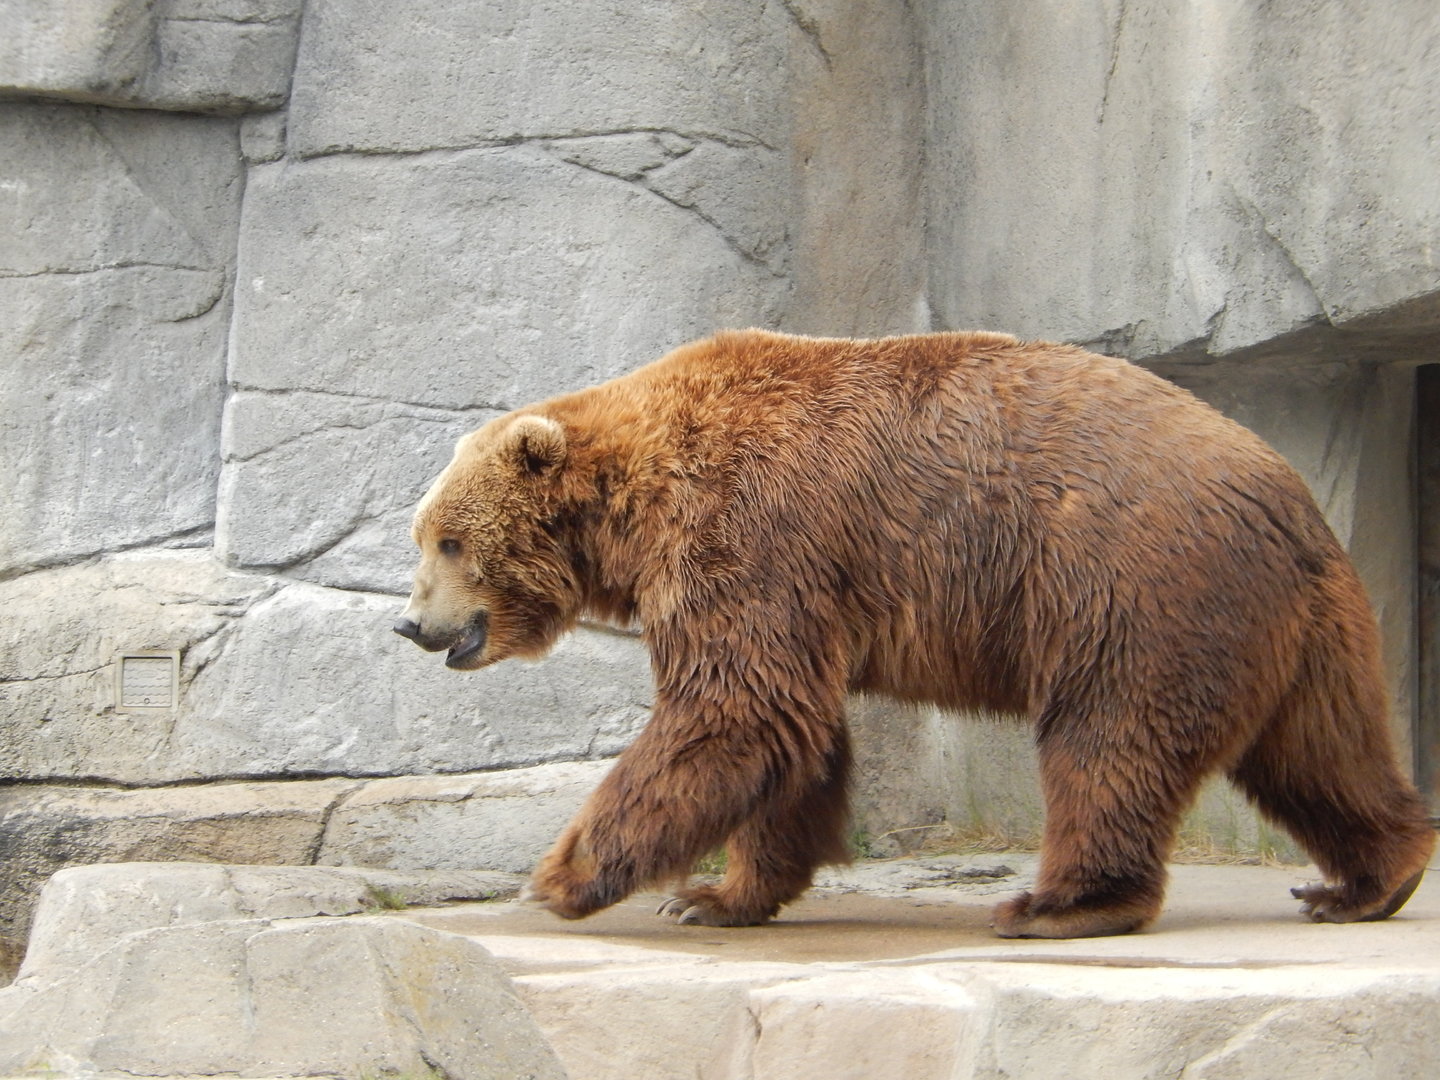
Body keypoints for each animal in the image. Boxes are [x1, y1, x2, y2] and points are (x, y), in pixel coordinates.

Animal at [395, 329, 1435, 938]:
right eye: (422, 535)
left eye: (449, 538)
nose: (412, 623)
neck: (633, 502)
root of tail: (1287, 494)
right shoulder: (799, 584)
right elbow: (795, 735)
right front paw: (720, 895)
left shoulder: (752, 528)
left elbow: (734, 708)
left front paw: (563, 876)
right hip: (1302, 623)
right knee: (1322, 749)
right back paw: (1366, 879)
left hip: (1134, 588)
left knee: (1109, 741)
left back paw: (1054, 902)